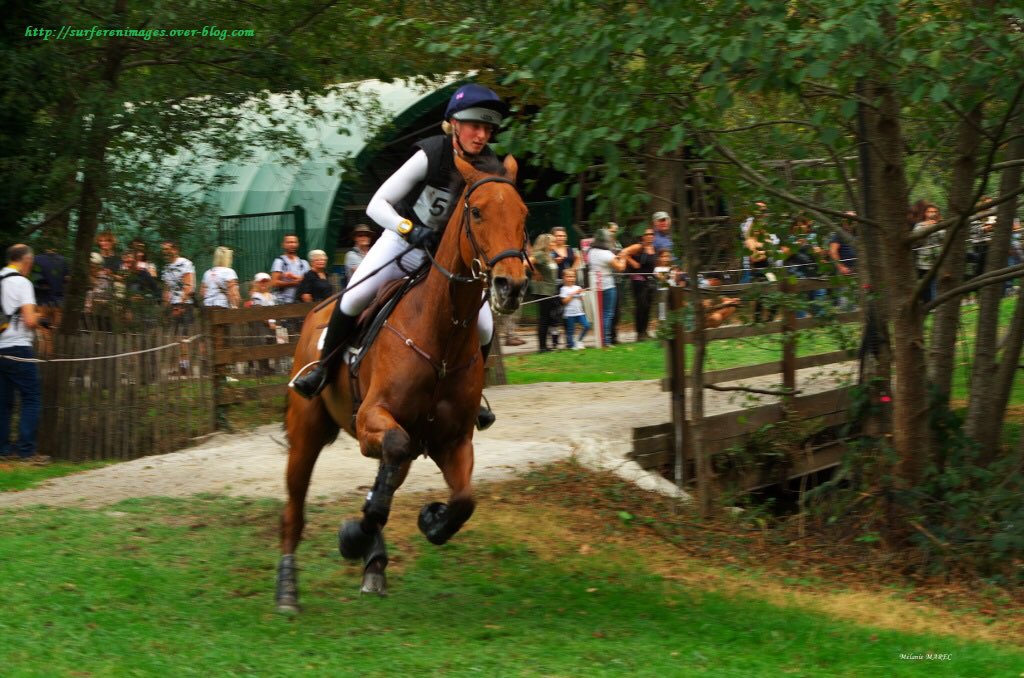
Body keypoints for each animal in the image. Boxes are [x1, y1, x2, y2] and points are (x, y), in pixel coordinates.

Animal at [275, 152, 529, 613]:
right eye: (477, 212)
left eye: (523, 214)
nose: (510, 286)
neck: (441, 336)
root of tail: (313, 313)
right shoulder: (371, 421)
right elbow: (382, 487)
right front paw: (352, 537)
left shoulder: (452, 441)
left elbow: (462, 501)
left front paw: (431, 521)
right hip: (306, 433)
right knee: (296, 507)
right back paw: (288, 589)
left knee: (389, 476)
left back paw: (374, 563)